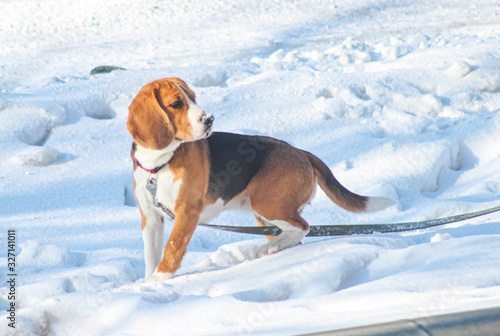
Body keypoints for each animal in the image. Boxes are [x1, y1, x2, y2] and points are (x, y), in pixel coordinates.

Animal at [127, 77, 392, 282]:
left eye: (193, 97)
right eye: (176, 103)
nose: (210, 119)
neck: (159, 164)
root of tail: (301, 152)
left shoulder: (187, 212)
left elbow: (172, 248)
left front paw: (158, 281)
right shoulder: (151, 218)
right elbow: (152, 254)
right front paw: (147, 281)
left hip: (267, 204)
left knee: (303, 227)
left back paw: (270, 247)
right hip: (265, 214)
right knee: (294, 234)